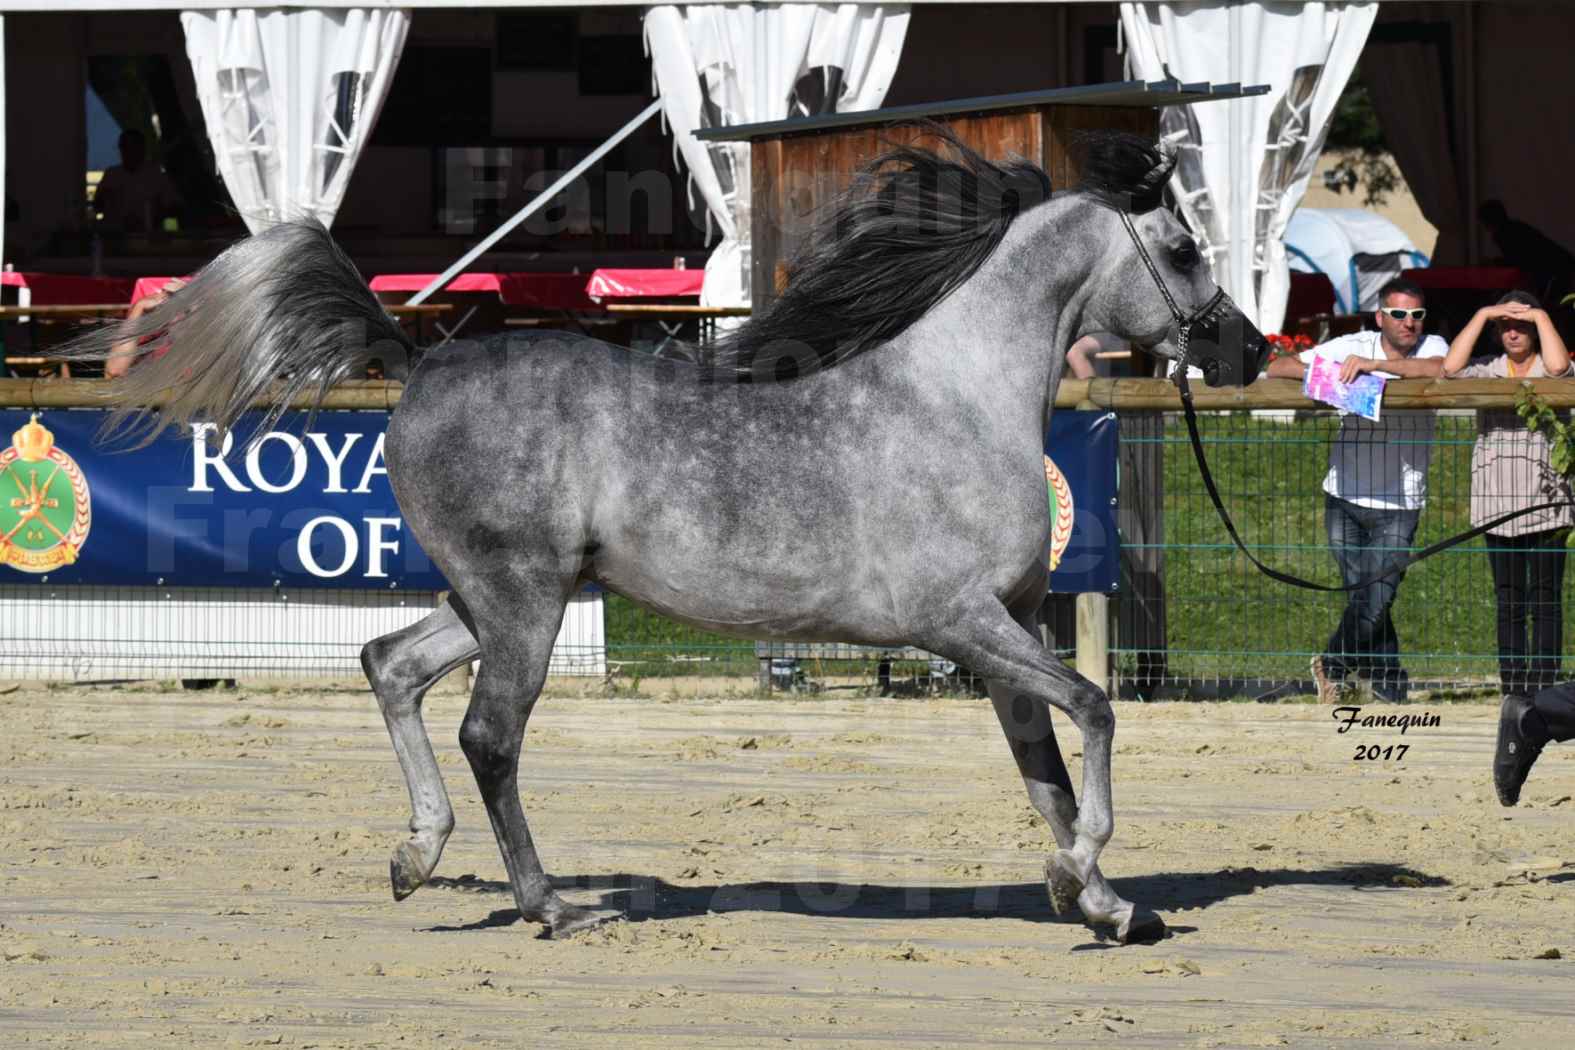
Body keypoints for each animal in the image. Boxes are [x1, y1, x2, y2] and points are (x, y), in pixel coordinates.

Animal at [83, 129, 1266, 944]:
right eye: (1179, 249)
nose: (1248, 351)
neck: (954, 399)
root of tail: (417, 361)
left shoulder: (1010, 624)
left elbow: (1045, 768)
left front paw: (1103, 903)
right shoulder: (960, 623)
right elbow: (1096, 711)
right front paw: (1086, 881)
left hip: (496, 599)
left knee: (390, 664)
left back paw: (416, 858)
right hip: (523, 604)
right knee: (488, 735)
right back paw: (547, 906)